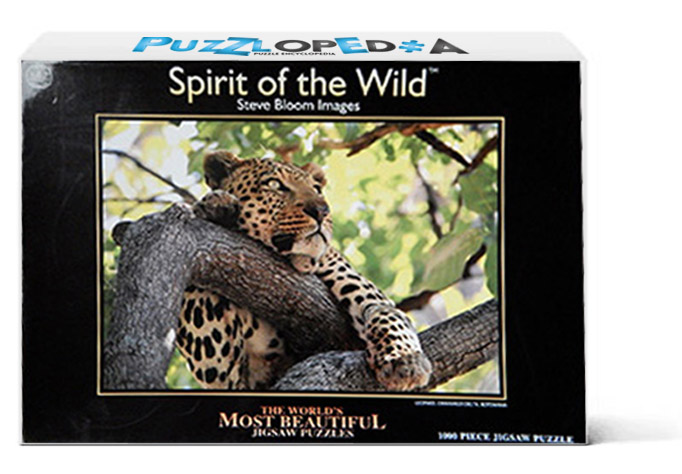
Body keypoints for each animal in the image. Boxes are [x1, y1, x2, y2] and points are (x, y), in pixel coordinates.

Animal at [175, 150, 432, 391]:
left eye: (317, 189)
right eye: (274, 185)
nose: (322, 210)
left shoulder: (366, 291)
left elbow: (387, 313)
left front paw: (404, 361)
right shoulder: (221, 371)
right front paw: (218, 207)